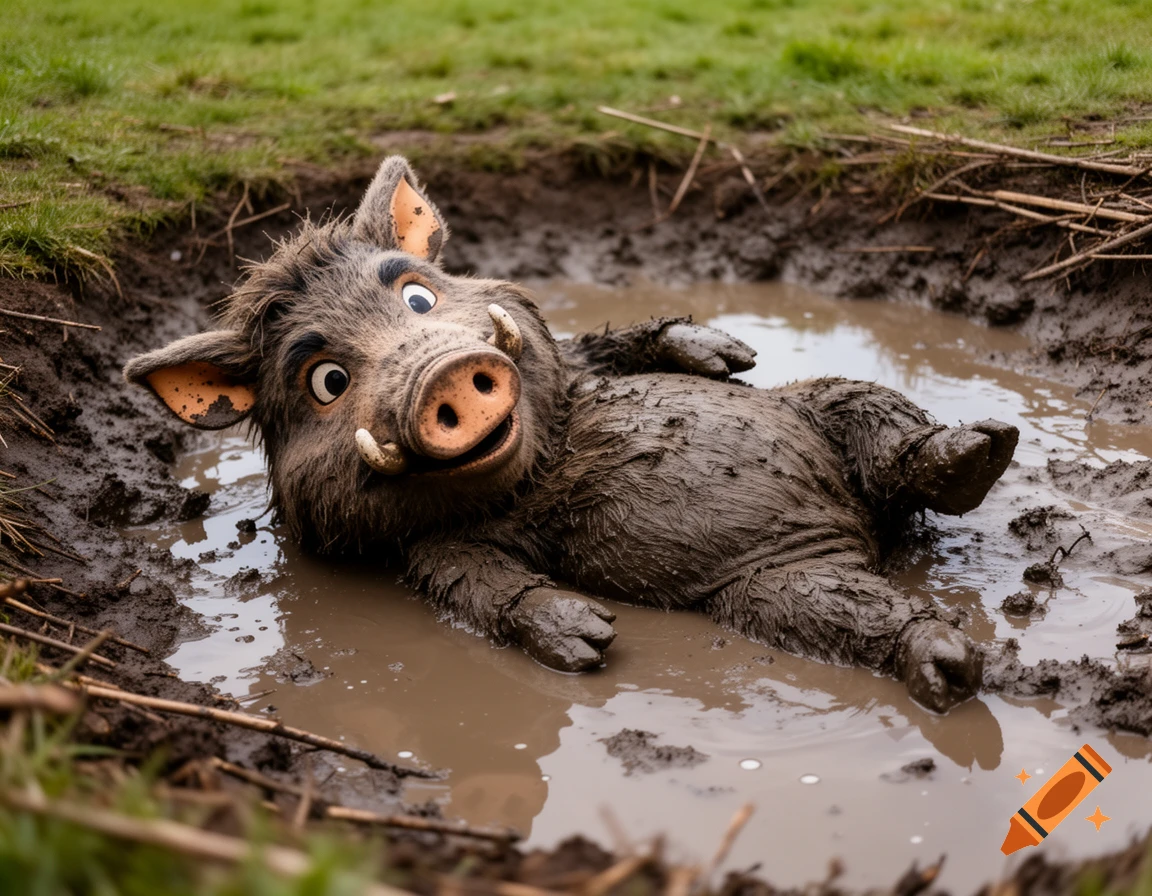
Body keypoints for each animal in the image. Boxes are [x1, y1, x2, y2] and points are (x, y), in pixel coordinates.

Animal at [126, 156, 1018, 712]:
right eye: (326, 382)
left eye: (416, 296)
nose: (444, 371)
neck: (541, 457)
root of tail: (867, 534)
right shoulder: (425, 547)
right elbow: (476, 582)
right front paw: (590, 641)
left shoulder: (580, 365)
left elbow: (604, 352)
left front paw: (728, 356)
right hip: (778, 588)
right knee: (851, 609)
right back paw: (952, 663)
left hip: (820, 407)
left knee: (874, 417)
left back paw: (983, 449)